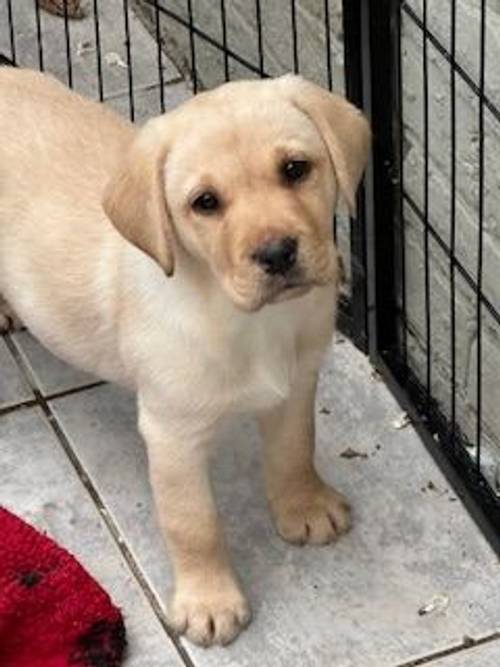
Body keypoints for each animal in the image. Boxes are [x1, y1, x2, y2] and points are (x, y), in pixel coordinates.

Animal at [0, 68, 370, 648]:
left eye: (295, 169)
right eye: (205, 202)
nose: (277, 253)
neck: (246, 320)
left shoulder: (297, 384)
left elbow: (294, 450)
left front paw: (305, 507)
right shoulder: (172, 431)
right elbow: (193, 523)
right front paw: (209, 602)